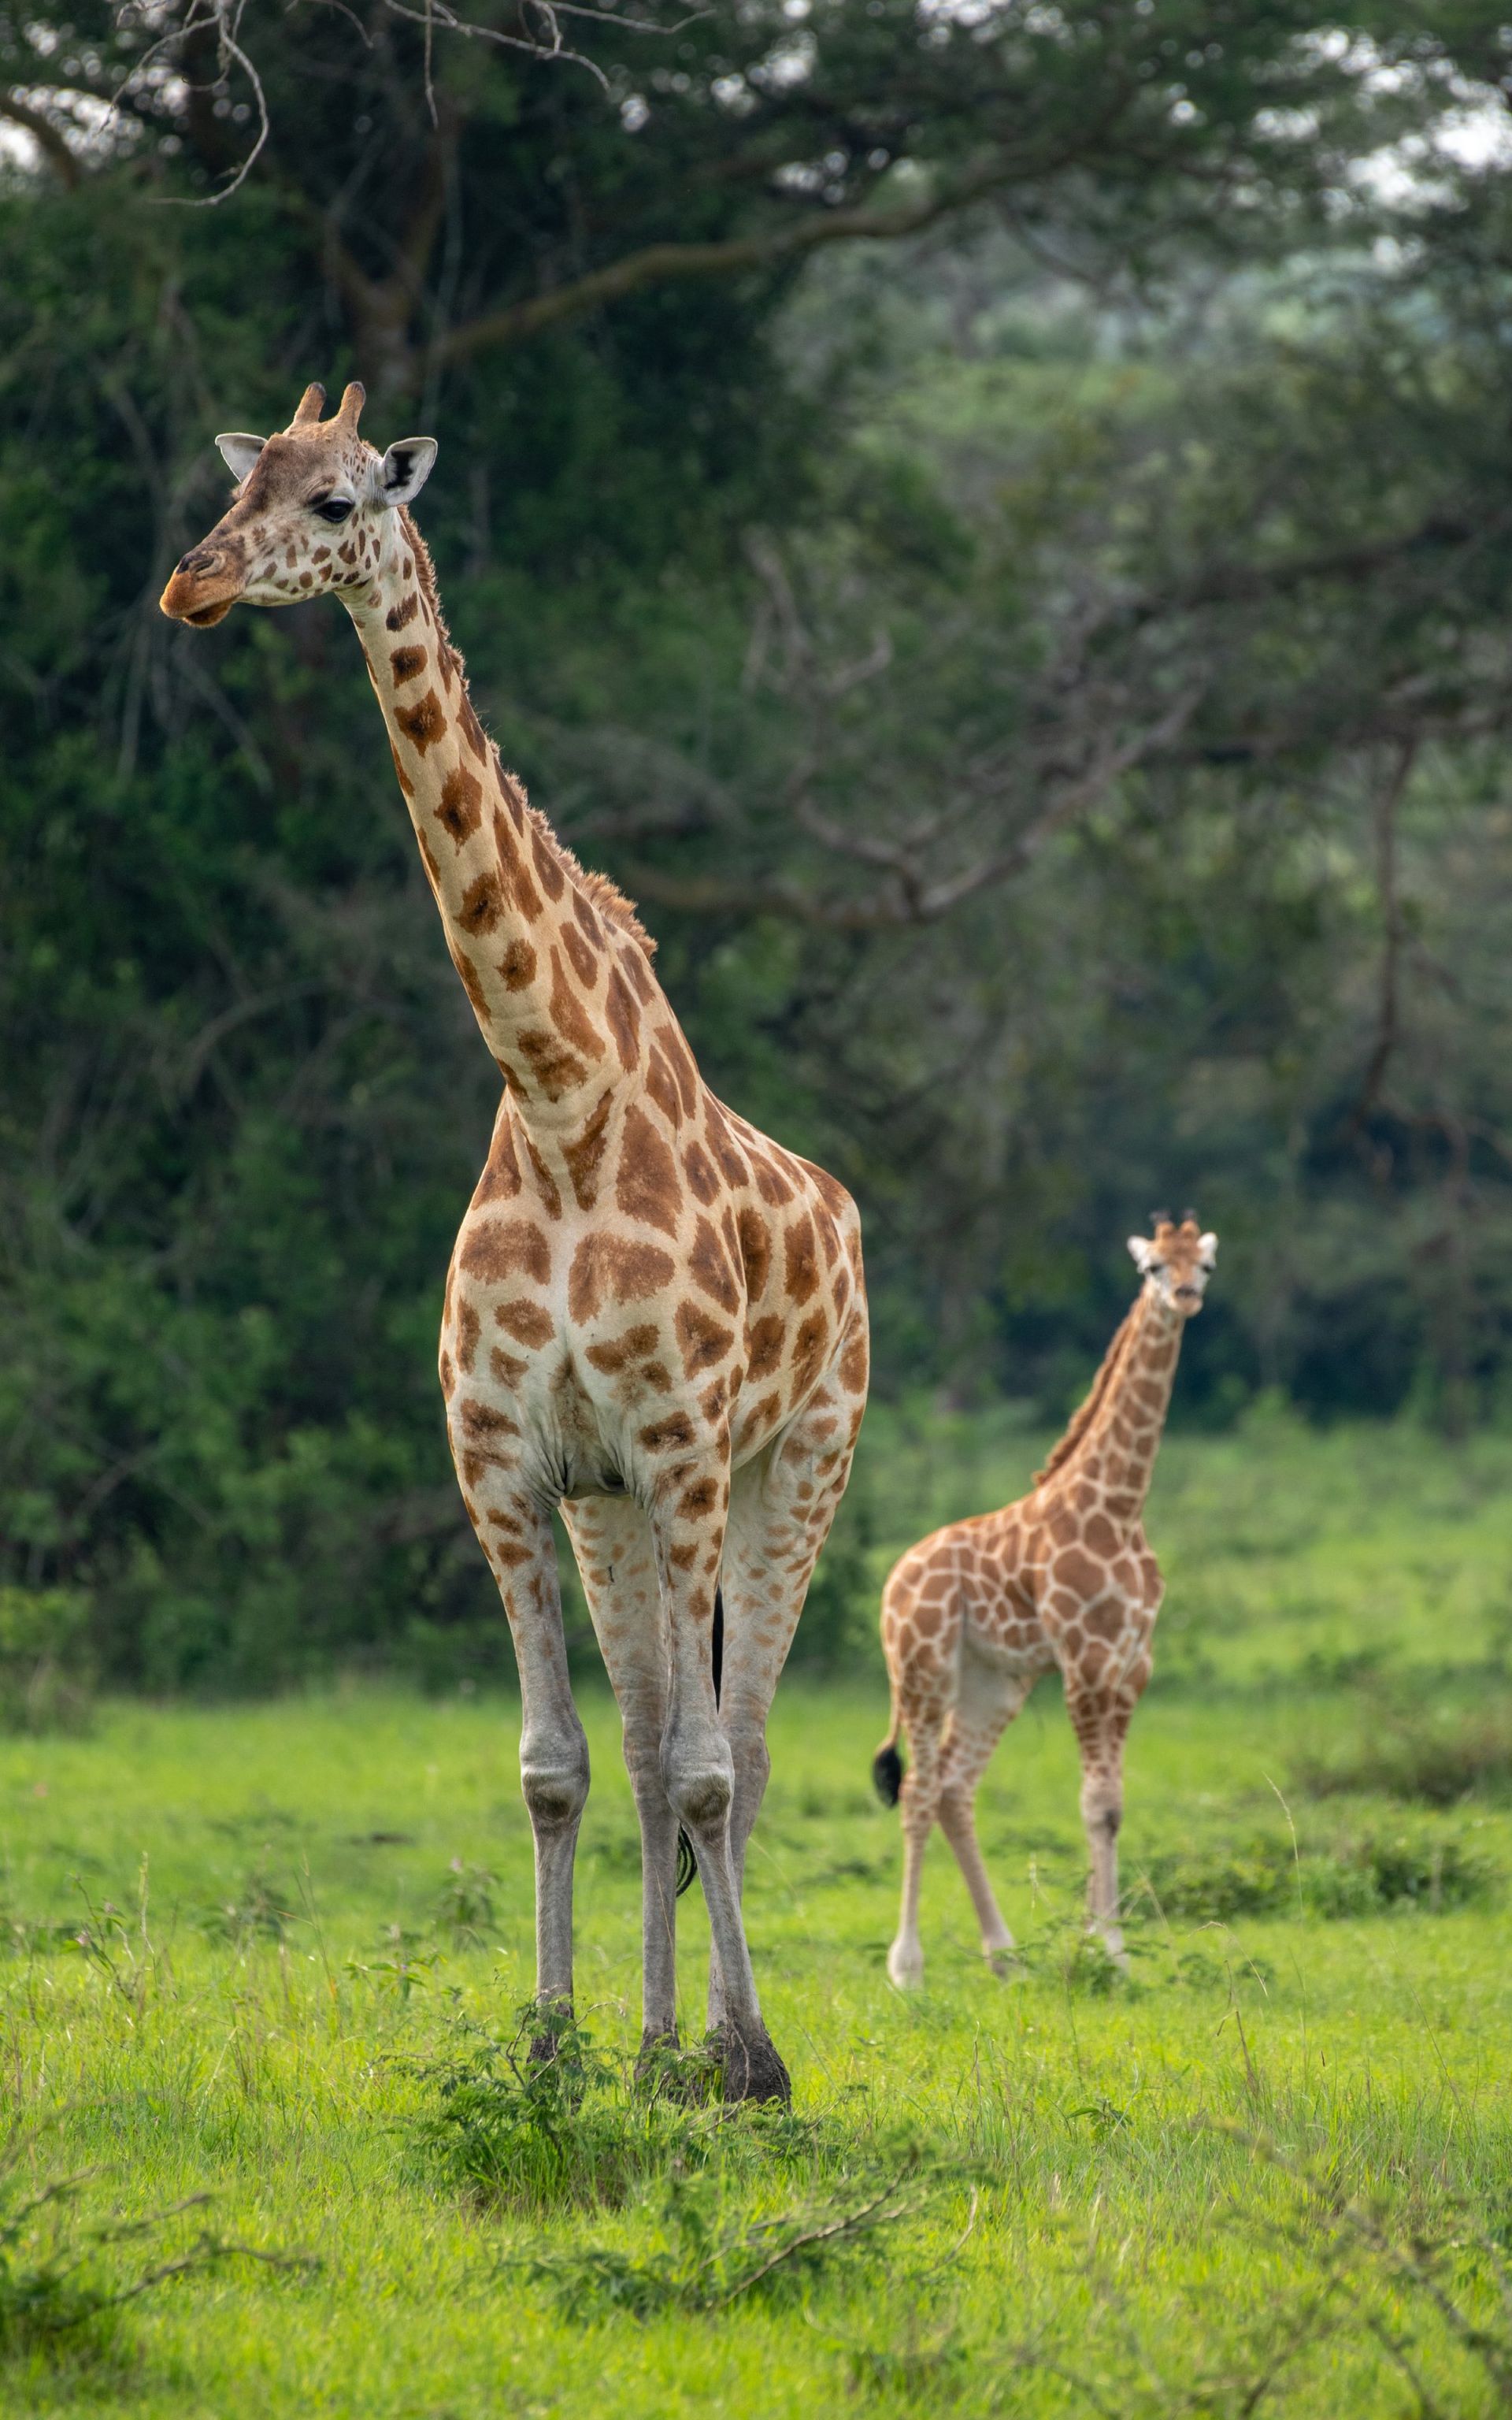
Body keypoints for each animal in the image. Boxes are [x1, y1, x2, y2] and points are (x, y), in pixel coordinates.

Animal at [159, 381, 869, 2102]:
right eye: (247, 483)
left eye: (339, 500)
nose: (190, 586)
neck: (557, 1099)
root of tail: (846, 1214)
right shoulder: (506, 1456)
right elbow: (561, 1765)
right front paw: (556, 2049)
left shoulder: (684, 1446)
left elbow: (706, 1767)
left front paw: (747, 2064)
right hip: (618, 1510)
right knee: (650, 1749)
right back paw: (657, 2042)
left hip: (797, 1459)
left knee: (739, 1748)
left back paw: (723, 2049)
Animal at [872, 1213, 1217, 1986]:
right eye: (1152, 1267)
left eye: (1204, 1265)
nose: (1185, 1296)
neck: (1119, 1504)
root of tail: (894, 1579)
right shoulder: (1085, 1657)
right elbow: (1095, 1803)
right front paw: (1109, 1950)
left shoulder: (1132, 1662)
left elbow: (1112, 1804)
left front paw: (1099, 1943)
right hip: (923, 1668)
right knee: (918, 1791)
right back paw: (907, 1967)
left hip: (994, 1681)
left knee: (954, 1789)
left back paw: (1004, 1958)